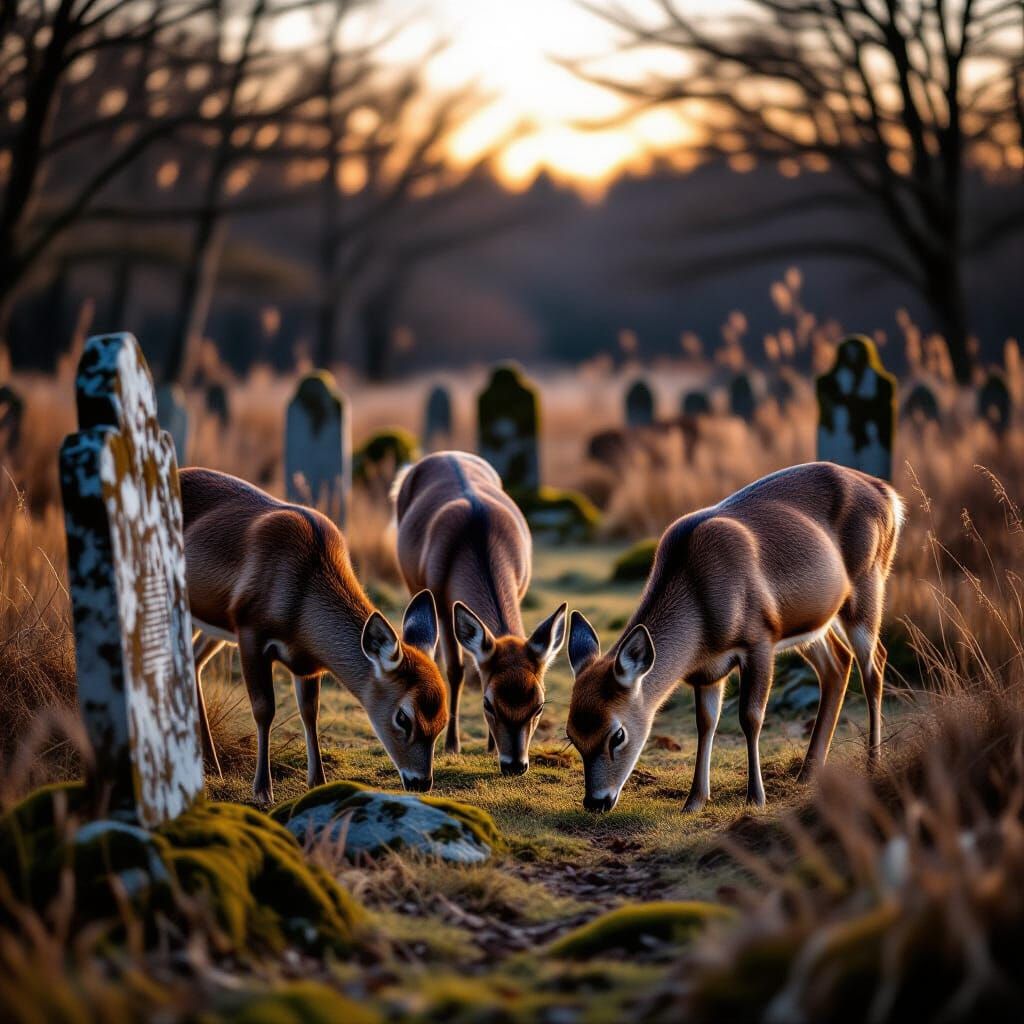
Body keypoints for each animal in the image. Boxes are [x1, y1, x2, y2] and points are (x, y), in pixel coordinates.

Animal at [180, 467, 449, 804]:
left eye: (443, 719)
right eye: (403, 717)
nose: (420, 782)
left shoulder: (306, 663)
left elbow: (310, 712)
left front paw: (318, 781)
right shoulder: (250, 630)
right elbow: (264, 709)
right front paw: (263, 790)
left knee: (194, 662)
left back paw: (212, 764)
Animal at [393, 452, 567, 775]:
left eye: (539, 705)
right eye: (488, 704)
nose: (515, 765)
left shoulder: (521, 588)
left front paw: (489, 746)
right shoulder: (442, 602)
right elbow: (456, 670)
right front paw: (452, 744)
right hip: (414, 584)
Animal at [565, 461, 904, 813]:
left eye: (617, 735)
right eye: (572, 735)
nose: (596, 801)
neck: (701, 626)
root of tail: (889, 495)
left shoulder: (760, 637)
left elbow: (750, 717)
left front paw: (755, 797)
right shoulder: (708, 670)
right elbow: (705, 722)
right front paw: (694, 800)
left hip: (869, 581)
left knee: (875, 663)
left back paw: (872, 762)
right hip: (811, 622)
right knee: (837, 664)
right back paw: (808, 773)